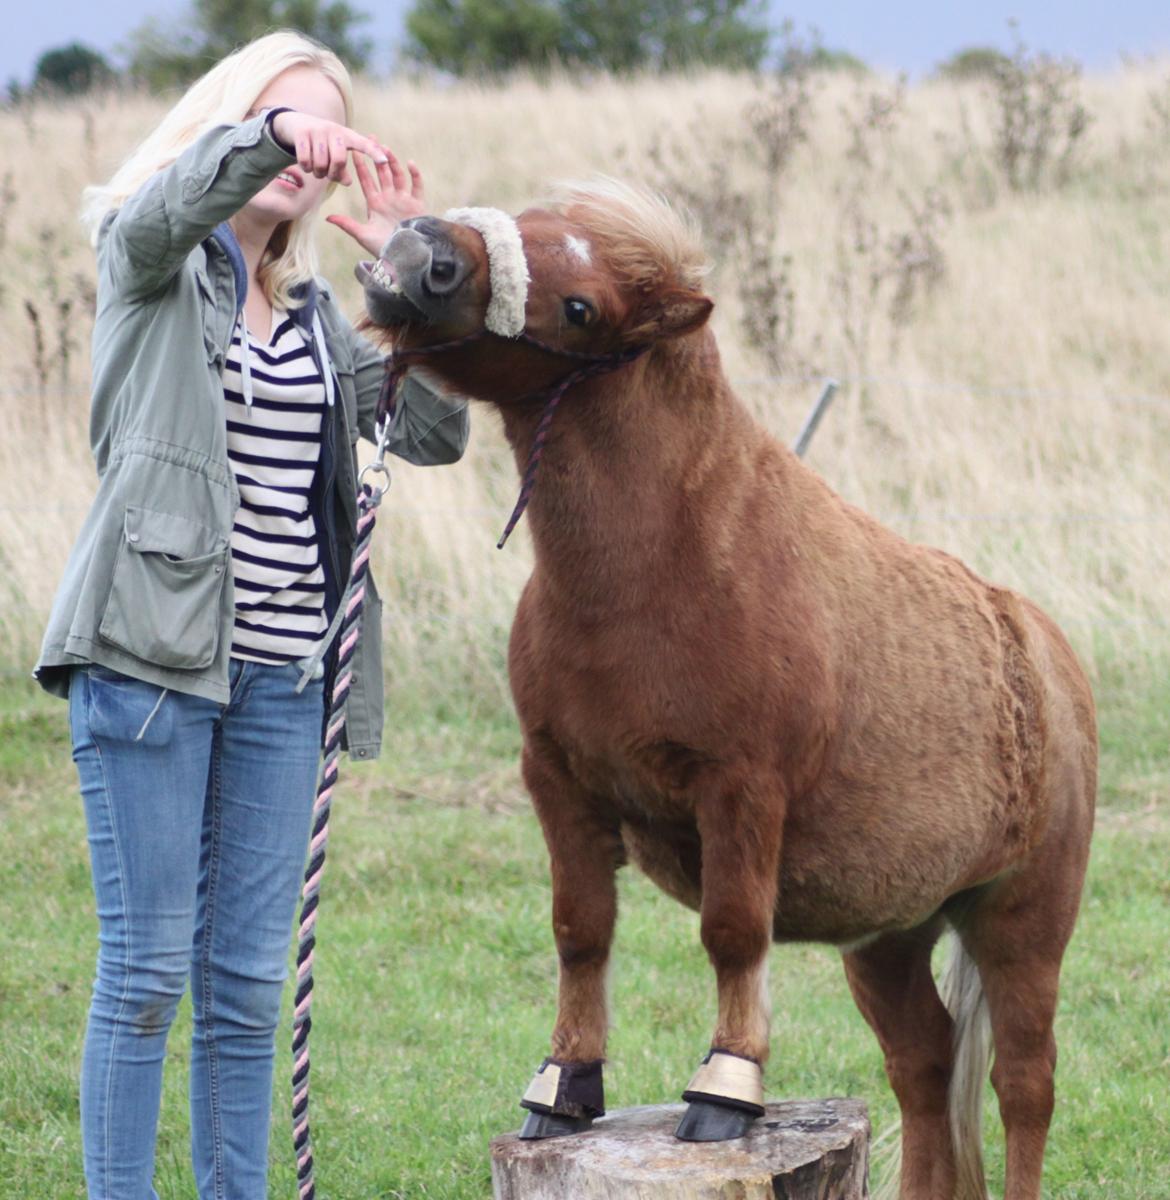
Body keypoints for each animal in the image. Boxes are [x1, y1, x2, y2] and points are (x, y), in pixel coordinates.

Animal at [357, 180, 1099, 1200]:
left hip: (1022, 920)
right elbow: (580, 931)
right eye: (532, 214)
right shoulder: (556, 783)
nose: (419, 250)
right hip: (891, 933)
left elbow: (733, 934)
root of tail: (1048, 655)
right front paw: (563, 1087)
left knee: (1025, 1082)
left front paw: (725, 1088)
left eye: (580, 307)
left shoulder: (740, 790)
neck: (663, 565)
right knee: (925, 1062)